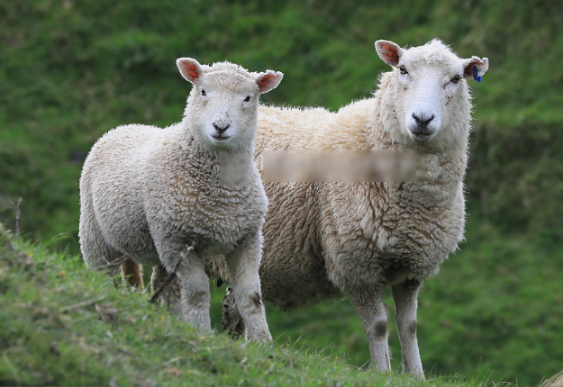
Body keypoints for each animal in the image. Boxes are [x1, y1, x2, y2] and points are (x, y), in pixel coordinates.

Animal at [78, 56, 282, 342]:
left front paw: (262, 344)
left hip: (157, 245)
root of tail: (123, 127)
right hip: (96, 234)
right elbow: (197, 293)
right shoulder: (177, 240)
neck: (221, 193)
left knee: (163, 286)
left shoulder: (247, 239)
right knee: (101, 273)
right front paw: (202, 335)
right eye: (203, 91)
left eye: (248, 98)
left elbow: (251, 296)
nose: (221, 127)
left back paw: (170, 321)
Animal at [225, 40, 490, 378]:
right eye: (402, 69)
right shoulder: (357, 264)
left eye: (456, 78)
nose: (422, 119)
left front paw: (416, 375)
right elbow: (378, 326)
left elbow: (409, 326)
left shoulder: (412, 268)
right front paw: (383, 374)